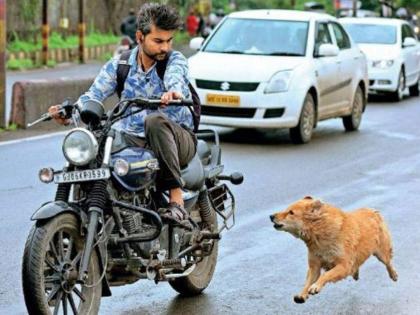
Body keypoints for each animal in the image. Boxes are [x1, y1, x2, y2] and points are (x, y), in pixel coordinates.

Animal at [270, 198, 398, 304]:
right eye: (287, 209)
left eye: (291, 212)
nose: (271, 216)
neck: (319, 232)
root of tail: (372, 210)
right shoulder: (314, 266)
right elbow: (308, 281)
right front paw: (302, 294)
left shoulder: (343, 265)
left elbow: (326, 275)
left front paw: (315, 287)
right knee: (356, 265)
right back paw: (355, 273)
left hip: (382, 252)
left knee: (388, 262)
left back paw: (393, 275)